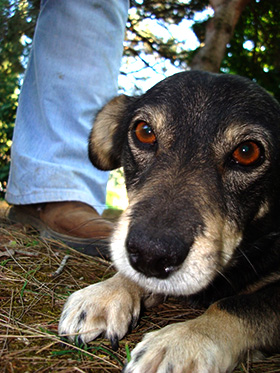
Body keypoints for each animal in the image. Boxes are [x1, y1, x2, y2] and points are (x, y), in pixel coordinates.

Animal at [58, 71, 280, 370]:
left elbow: (239, 305)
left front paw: (185, 340)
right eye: (144, 131)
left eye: (247, 152)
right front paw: (106, 292)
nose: (150, 255)